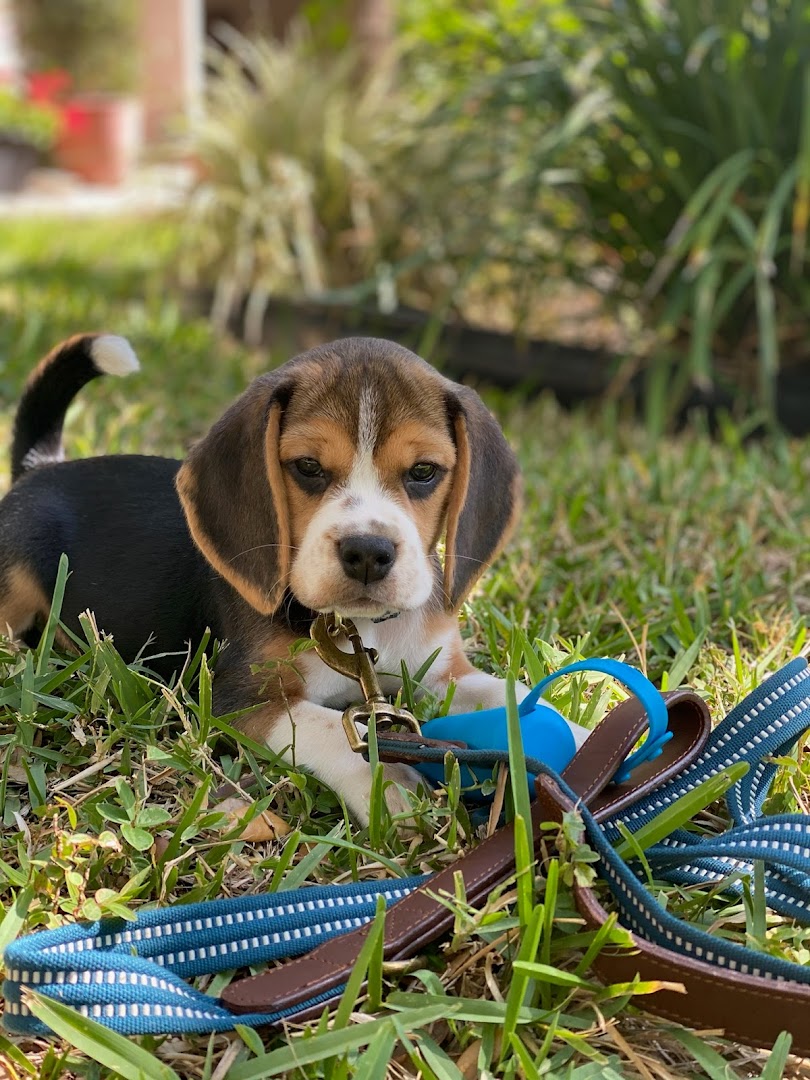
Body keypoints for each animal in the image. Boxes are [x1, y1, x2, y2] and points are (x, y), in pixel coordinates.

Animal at [0, 332, 570, 820]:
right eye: (308, 467)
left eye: (424, 472)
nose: (367, 552)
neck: (361, 629)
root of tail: (40, 467)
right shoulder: (241, 700)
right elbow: (330, 726)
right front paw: (390, 786)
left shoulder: (442, 672)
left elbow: (513, 696)